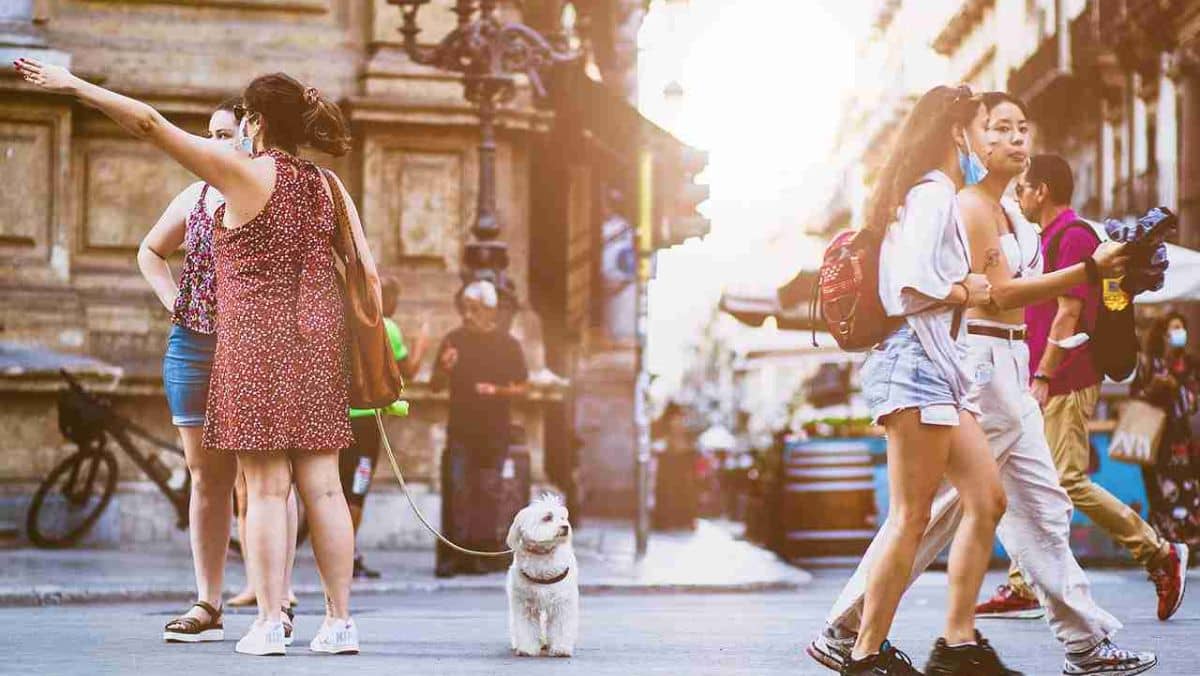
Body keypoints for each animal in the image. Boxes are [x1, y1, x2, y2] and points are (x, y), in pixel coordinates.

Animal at [504, 494, 578, 657]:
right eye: (547, 517)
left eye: (562, 518)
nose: (566, 527)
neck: (543, 554)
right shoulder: (525, 605)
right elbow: (526, 627)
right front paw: (527, 648)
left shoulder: (561, 603)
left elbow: (561, 626)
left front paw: (561, 648)